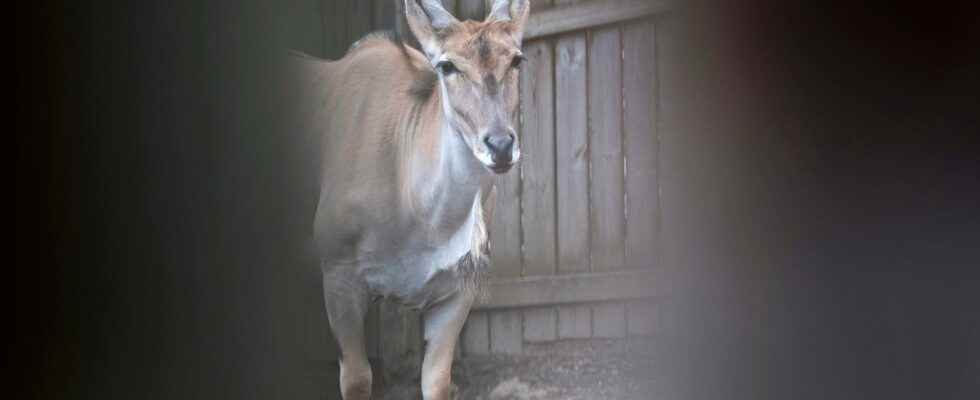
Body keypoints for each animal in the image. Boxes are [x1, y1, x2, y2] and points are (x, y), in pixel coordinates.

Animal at [290, 1, 532, 398]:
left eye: (516, 60)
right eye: (447, 66)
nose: (500, 146)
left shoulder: (456, 292)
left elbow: (437, 380)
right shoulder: (339, 277)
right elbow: (357, 379)